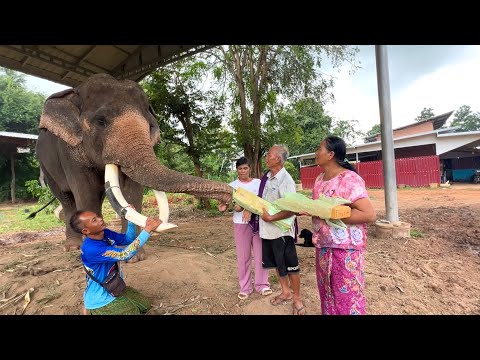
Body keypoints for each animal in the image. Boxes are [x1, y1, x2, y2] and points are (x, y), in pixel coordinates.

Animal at [35, 74, 232, 258]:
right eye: (100, 121)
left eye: (151, 126)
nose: (228, 199)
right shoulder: (69, 151)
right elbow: (86, 192)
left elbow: (132, 190)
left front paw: (134, 255)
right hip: (45, 166)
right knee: (67, 199)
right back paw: (72, 247)